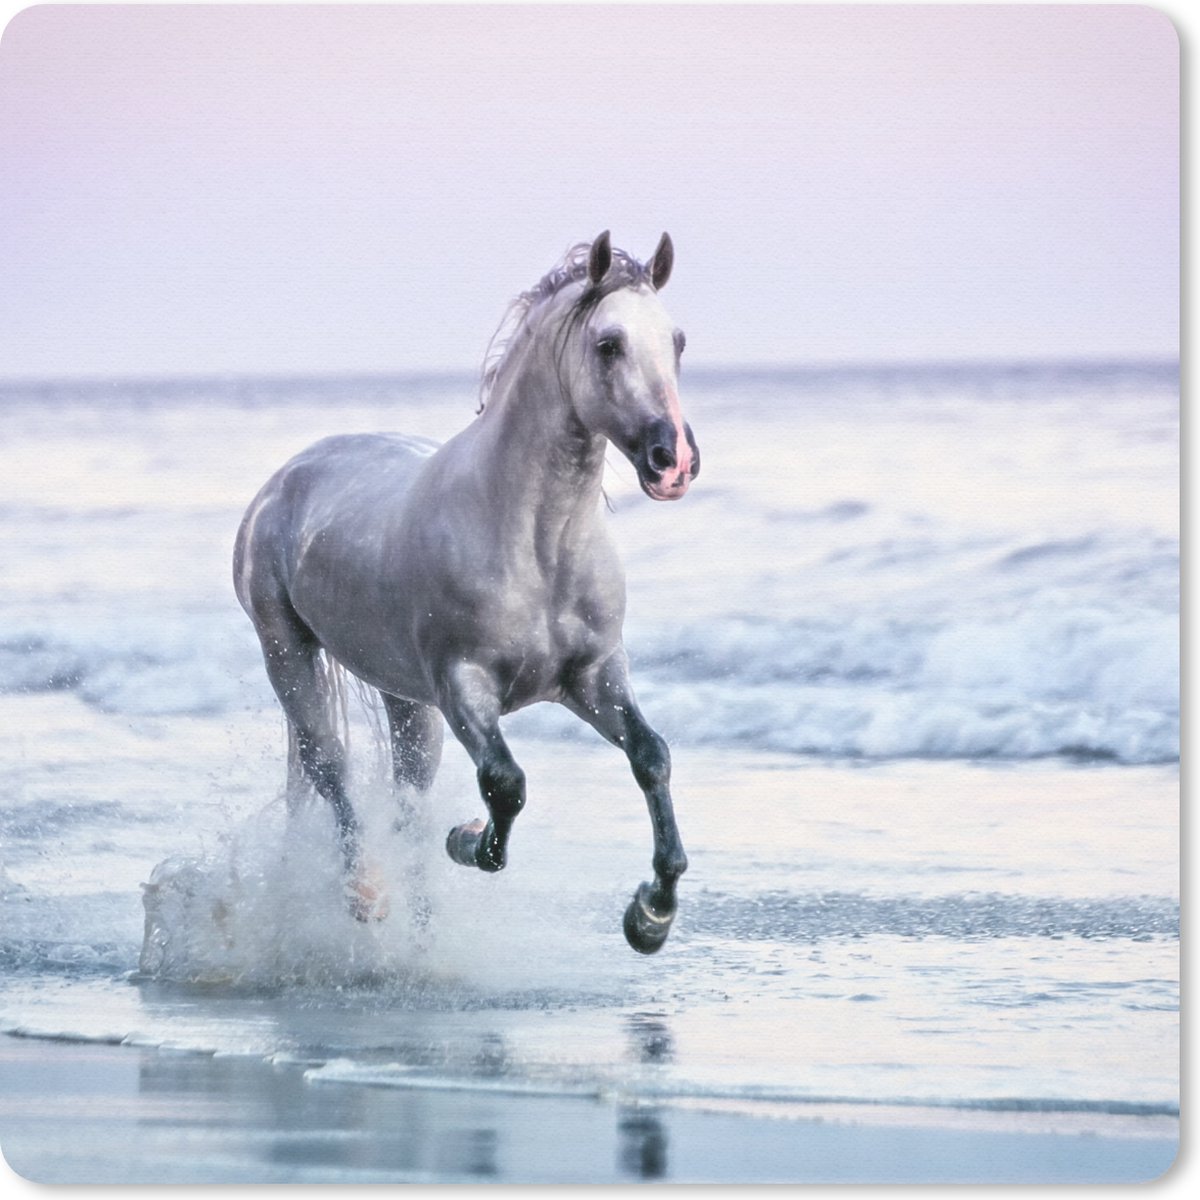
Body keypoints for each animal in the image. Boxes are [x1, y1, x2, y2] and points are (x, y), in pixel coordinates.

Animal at [232, 231, 699, 953]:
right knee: (330, 768)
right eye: (608, 344)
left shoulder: (594, 676)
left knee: (406, 797)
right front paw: (467, 839)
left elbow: (652, 757)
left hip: (402, 698)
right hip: (288, 654)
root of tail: (281, 483)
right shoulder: (464, 686)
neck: (536, 546)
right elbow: (505, 786)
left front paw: (650, 917)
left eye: (676, 341)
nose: (672, 461)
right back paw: (366, 893)